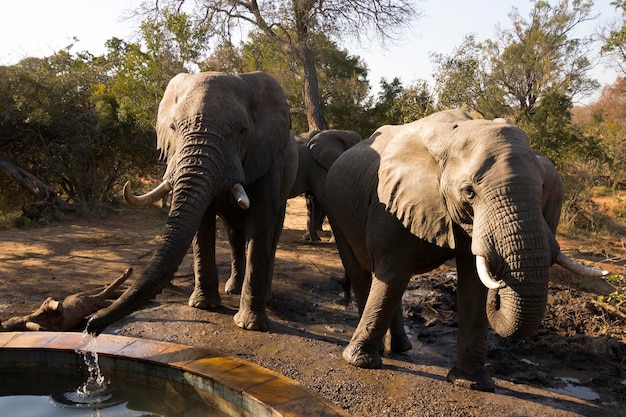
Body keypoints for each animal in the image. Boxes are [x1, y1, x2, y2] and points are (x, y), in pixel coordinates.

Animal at [85, 70, 298, 334]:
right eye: (173, 127)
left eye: (243, 130)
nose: (90, 325)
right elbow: (202, 224)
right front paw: (203, 306)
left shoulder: (267, 156)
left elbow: (259, 225)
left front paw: (250, 326)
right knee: (233, 235)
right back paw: (232, 290)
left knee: (270, 234)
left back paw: (263, 298)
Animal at [324, 108, 608, 390]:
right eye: (469, 192)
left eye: (542, 188)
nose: (500, 287)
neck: (451, 137)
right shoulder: (392, 203)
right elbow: (393, 272)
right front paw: (361, 363)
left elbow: (474, 285)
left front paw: (470, 383)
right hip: (336, 210)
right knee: (364, 272)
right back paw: (375, 353)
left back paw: (402, 348)